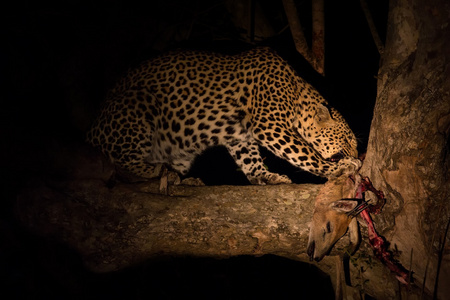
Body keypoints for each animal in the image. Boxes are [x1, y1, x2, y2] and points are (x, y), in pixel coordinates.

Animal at [87, 47, 362, 184]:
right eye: (348, 140)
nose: (360, 156)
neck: (296, 92)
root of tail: (92, 130)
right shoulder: (270, 125)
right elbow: (304, 152)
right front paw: (339, 167)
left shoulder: (239, 134)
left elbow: (250, 159)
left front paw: (266, 176)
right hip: (139, 105)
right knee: (119, 161)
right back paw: (156, 172)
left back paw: (181, 179)